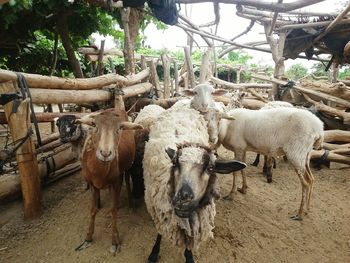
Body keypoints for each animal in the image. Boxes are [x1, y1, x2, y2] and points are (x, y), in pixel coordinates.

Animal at [75, 108, 142, 255]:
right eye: (94, 125)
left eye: (120, 128)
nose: (105, 153)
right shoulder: (93, 185)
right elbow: (93, 210)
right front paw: (88, 238)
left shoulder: (116, 182)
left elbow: (114, 211)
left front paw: (115, 240)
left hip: (127, 167)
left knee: (127, 181)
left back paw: (130, 205)